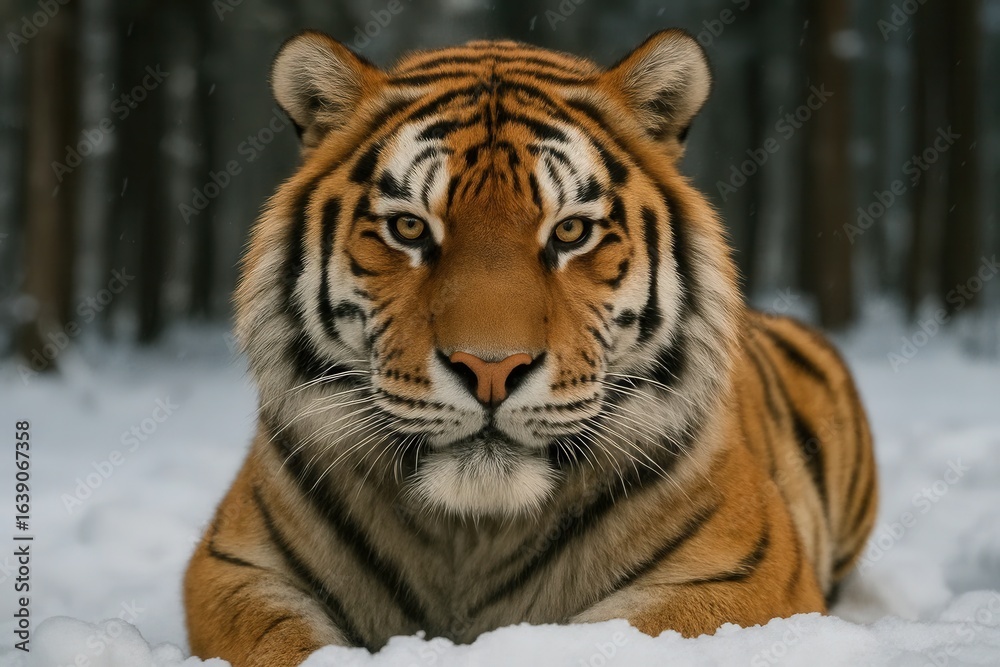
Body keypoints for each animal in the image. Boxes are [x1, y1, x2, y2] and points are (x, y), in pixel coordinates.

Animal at [184, 29, 877, 666]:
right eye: (409, 227)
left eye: (569, 231)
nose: (491, 370)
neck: (472, 531)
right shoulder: (236, 568)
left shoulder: (742, 577)